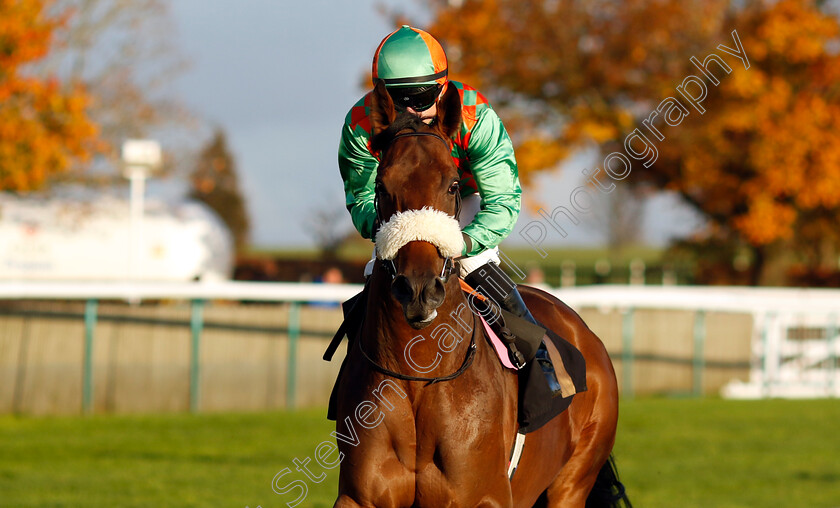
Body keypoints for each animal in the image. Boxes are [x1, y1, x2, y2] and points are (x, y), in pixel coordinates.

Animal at [332, 81, 628, 506]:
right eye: (381, 186)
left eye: (453, 184)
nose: (418, 289)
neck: (418, 375)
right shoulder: (359, 497)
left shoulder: (484, 495)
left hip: (573, 481)